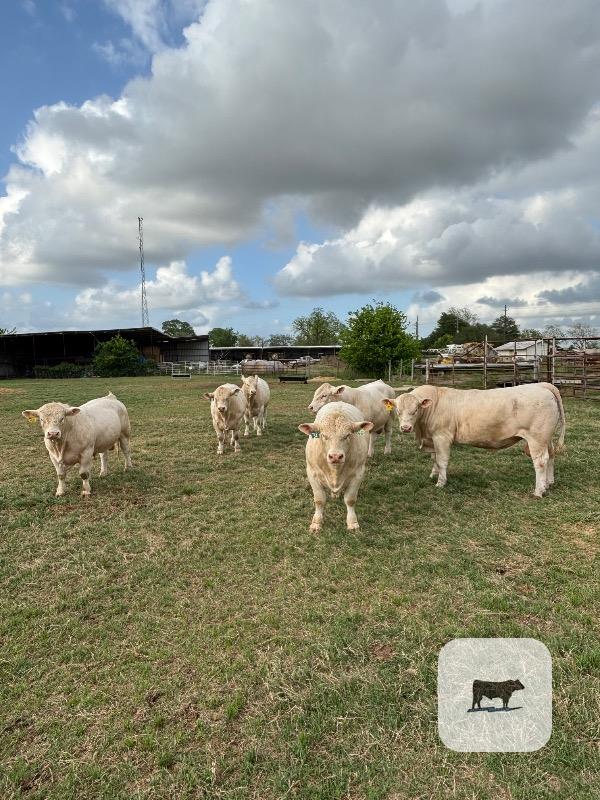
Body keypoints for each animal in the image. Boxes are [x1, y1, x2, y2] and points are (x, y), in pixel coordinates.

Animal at [298, 401, 374, 533]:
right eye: (324, 435)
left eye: (347, 435)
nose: (336, 456)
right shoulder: (312, 473)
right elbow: (319, 500)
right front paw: (316, 523)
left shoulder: (358, 474)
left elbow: (350, 500)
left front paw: (352, 522)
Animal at [384, 383, 566, 497]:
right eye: (398, 411)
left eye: (415, 410)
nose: (405, 428)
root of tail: (542, 385)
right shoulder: (432, 438)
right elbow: (434, 459)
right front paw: (433, 475)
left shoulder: (442, 437)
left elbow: (442, 461)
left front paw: (441, 483)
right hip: (546, 438)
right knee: (551, 456)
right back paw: (549, 483)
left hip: (536, 438)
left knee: (540, 461)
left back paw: (539, 491)